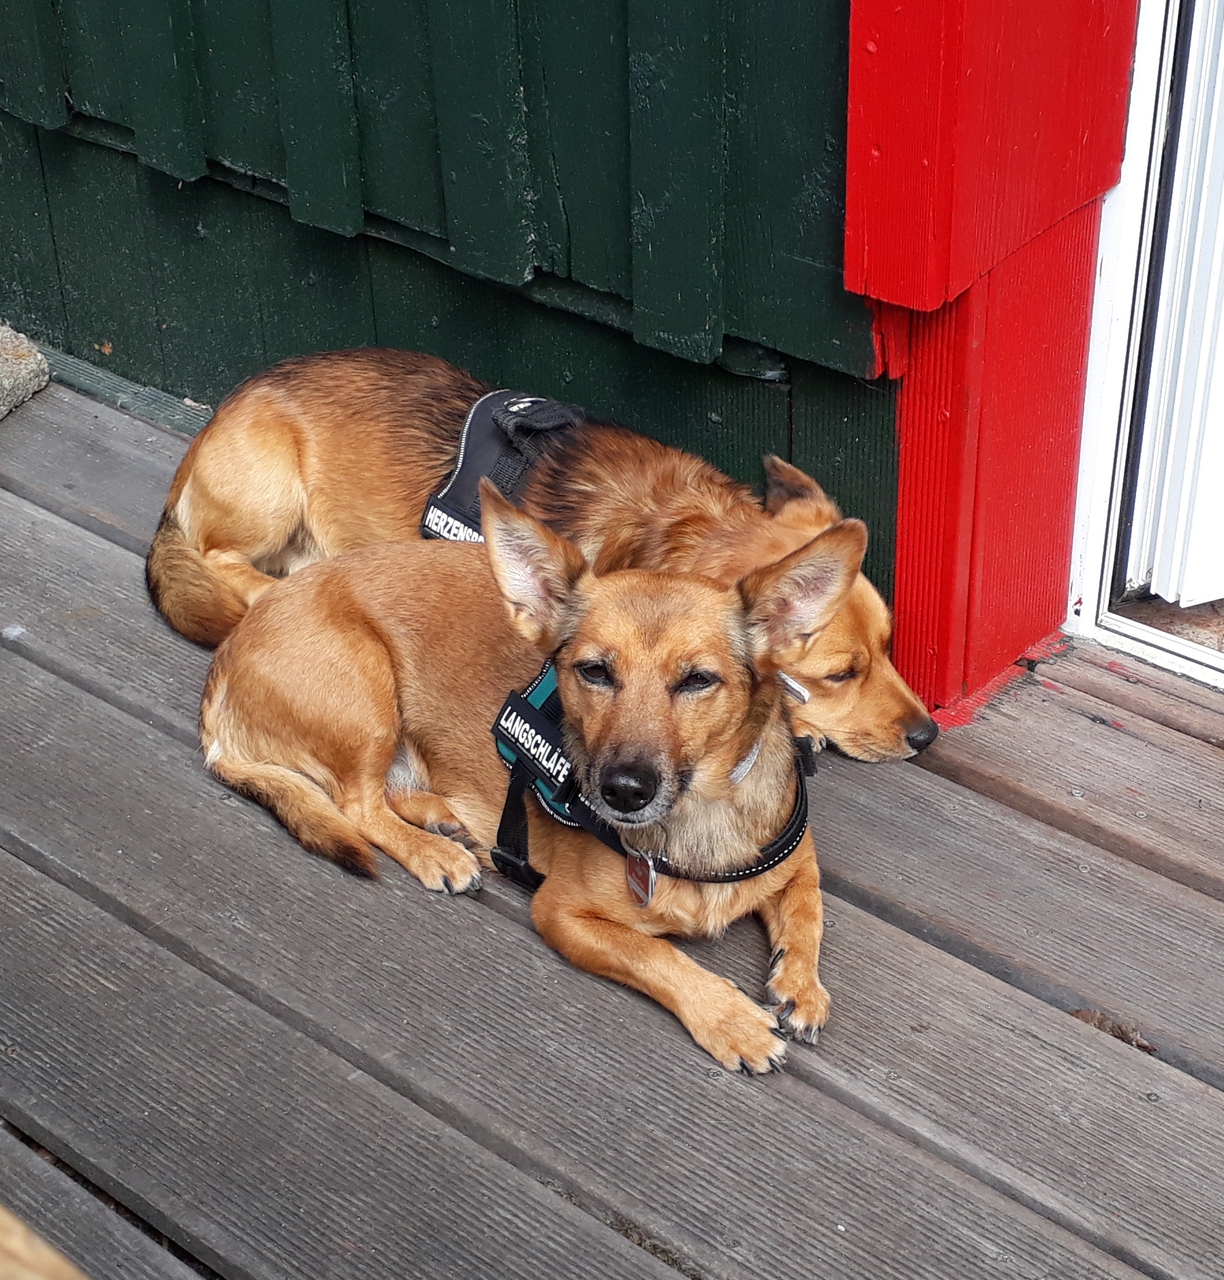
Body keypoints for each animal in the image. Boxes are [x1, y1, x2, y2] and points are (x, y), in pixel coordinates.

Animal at [149, 348, 936, 762]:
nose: (929, 735)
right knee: (223, 558)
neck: (679, 526)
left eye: (890, 648)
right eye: (841, 674)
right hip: (269, 491)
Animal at [201, 481, 867, 1071]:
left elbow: (808, 905)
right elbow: (654, 954)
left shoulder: (798, 855)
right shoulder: (561, 915)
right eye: (593, 671)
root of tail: (229, 653)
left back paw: (443, 819)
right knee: (356, 805)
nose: (623, 790)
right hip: (366, 688)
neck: (698, 815)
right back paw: (435, 852)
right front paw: (730, 1020)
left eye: (698, 680)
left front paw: (801, 985)